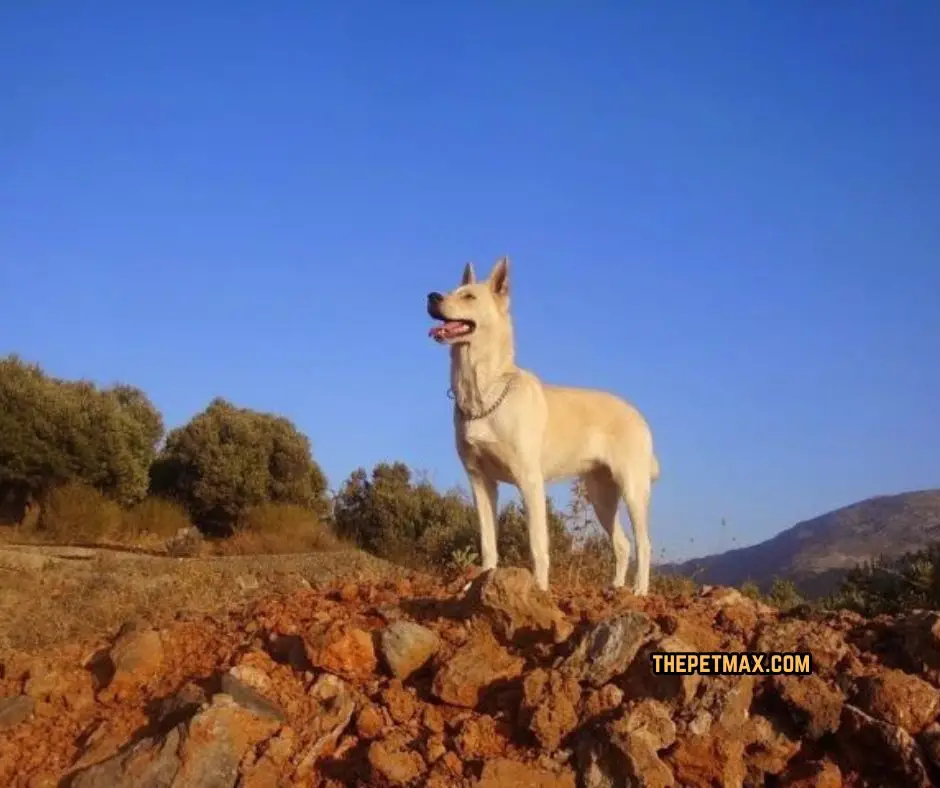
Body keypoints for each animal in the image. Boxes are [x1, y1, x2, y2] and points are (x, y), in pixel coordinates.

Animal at [426, 255, 660, 596]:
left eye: (468, 296)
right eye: (449, 290)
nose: (431, 297)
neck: (485, 393)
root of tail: (638, 415)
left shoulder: (529, 481)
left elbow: (537, 544)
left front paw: (538, 588)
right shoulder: (480, 481)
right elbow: (487, 542)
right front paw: (482, 581)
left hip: (632, 490)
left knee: (643, 543)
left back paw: (639, 592)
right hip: (601, 497)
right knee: (622, 543)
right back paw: (614, 588)